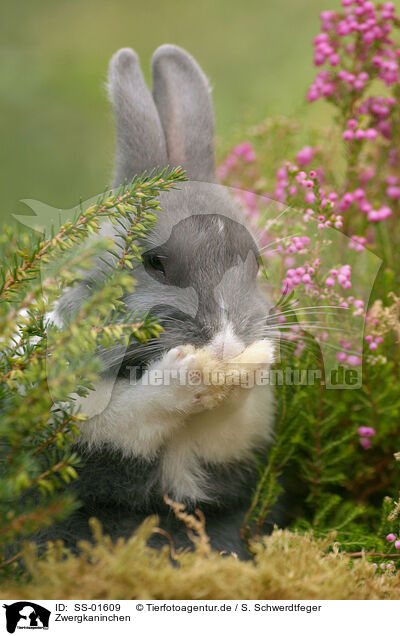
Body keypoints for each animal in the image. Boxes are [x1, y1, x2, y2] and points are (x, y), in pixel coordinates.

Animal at [48, 46, 282, 560]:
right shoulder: (85, 422)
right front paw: (186, 374)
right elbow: (135, 411)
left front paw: (251, 367)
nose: (224, 346)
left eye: (256, 261)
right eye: (155, 263)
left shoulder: (226, 443)